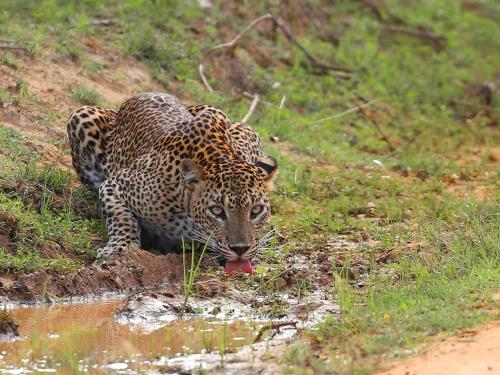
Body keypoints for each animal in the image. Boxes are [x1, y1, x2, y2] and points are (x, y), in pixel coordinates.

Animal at [66, 92, 278, 272]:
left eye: (256, 210)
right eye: (217, 211)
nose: (241, 249)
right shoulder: (116, 183)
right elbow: (120, 217)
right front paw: (121, 247)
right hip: (81, 115)